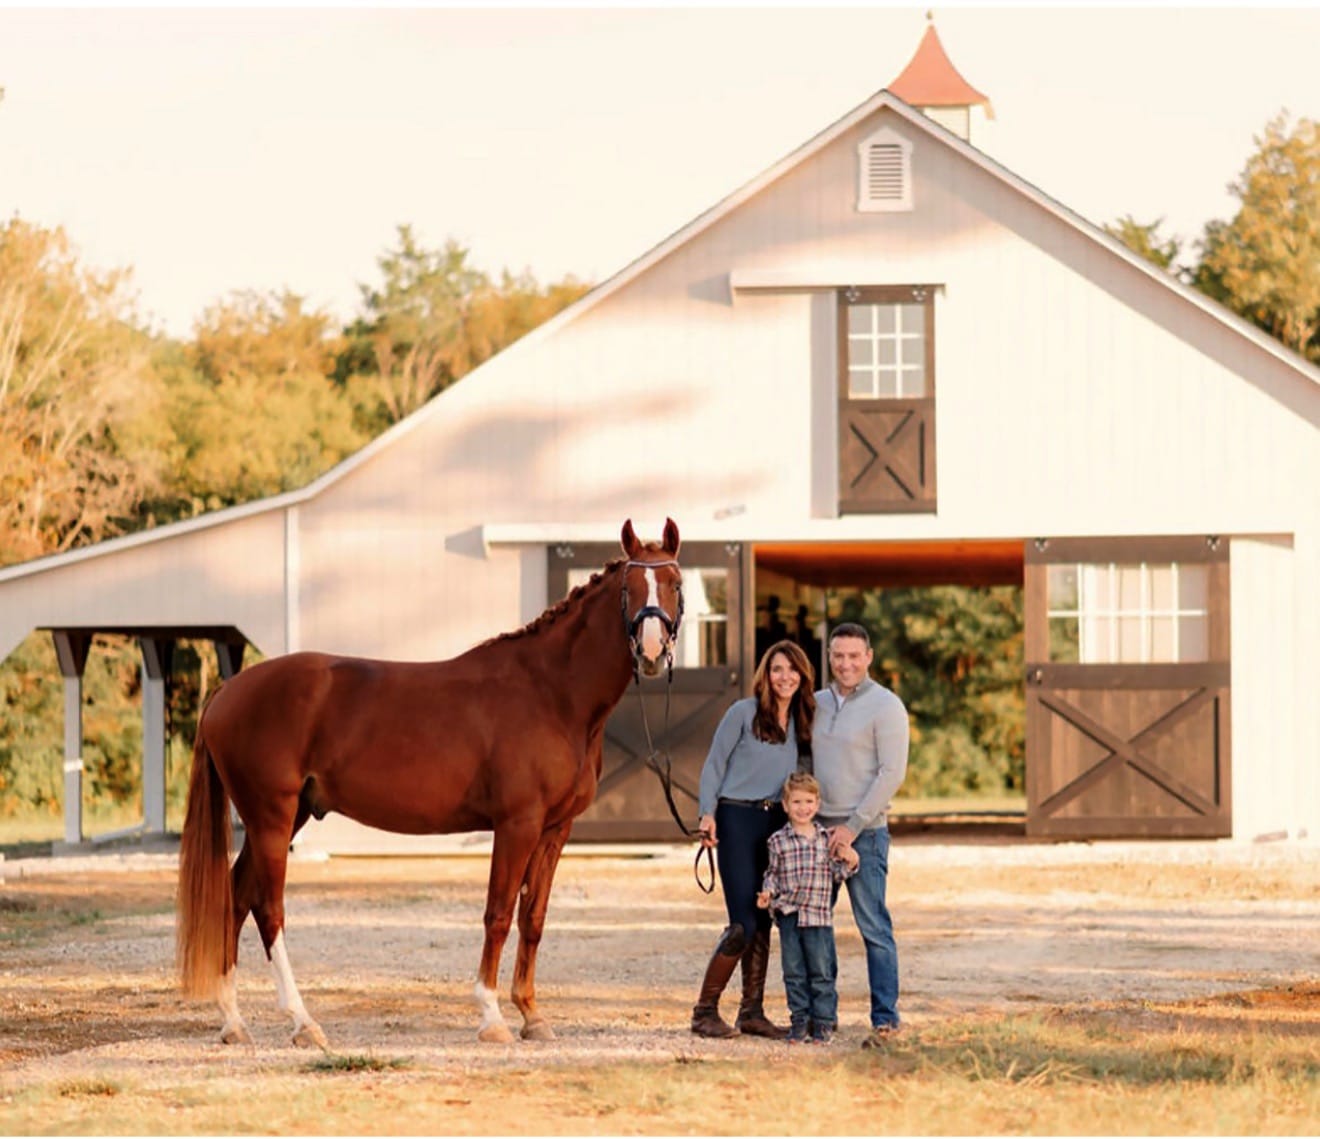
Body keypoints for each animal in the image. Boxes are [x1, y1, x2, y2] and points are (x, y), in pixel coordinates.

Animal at [176, 520, 686, 1045]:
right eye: (629, 588)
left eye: (675, 584)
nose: (651, 652)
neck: (551, 692)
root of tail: (227, 691)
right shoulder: (517, 824)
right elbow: (498, 913)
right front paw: (492, 1017)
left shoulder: (554, 829)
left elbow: (533, 917)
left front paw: (532, 1015)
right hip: (271, 817)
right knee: (267, 907)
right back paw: (303, 1022)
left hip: (286, 816)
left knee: (236, 897)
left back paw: (234, 1021)